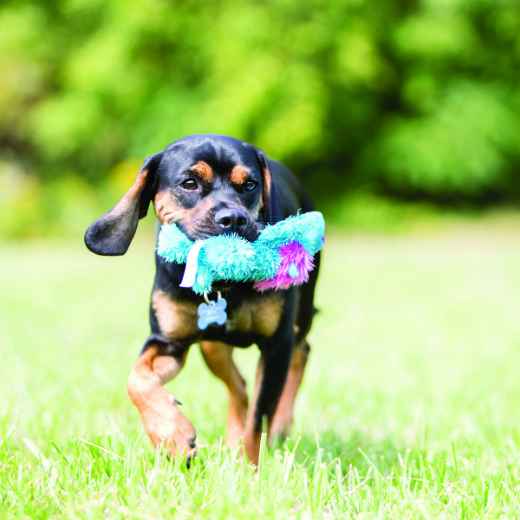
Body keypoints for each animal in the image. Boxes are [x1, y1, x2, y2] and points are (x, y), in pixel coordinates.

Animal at [83, 134, 318, 464]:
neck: (224, 284)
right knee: (239, 385)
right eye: (189, 183)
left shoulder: (276, 344)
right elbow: (137, 380)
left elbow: (259, 419)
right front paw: (172, 435)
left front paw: (249, 468)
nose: (233, 218)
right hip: (212, 346)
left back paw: (280, 426)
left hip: (301, 313)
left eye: (250, 185)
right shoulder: (168, 341)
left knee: (301, 352)